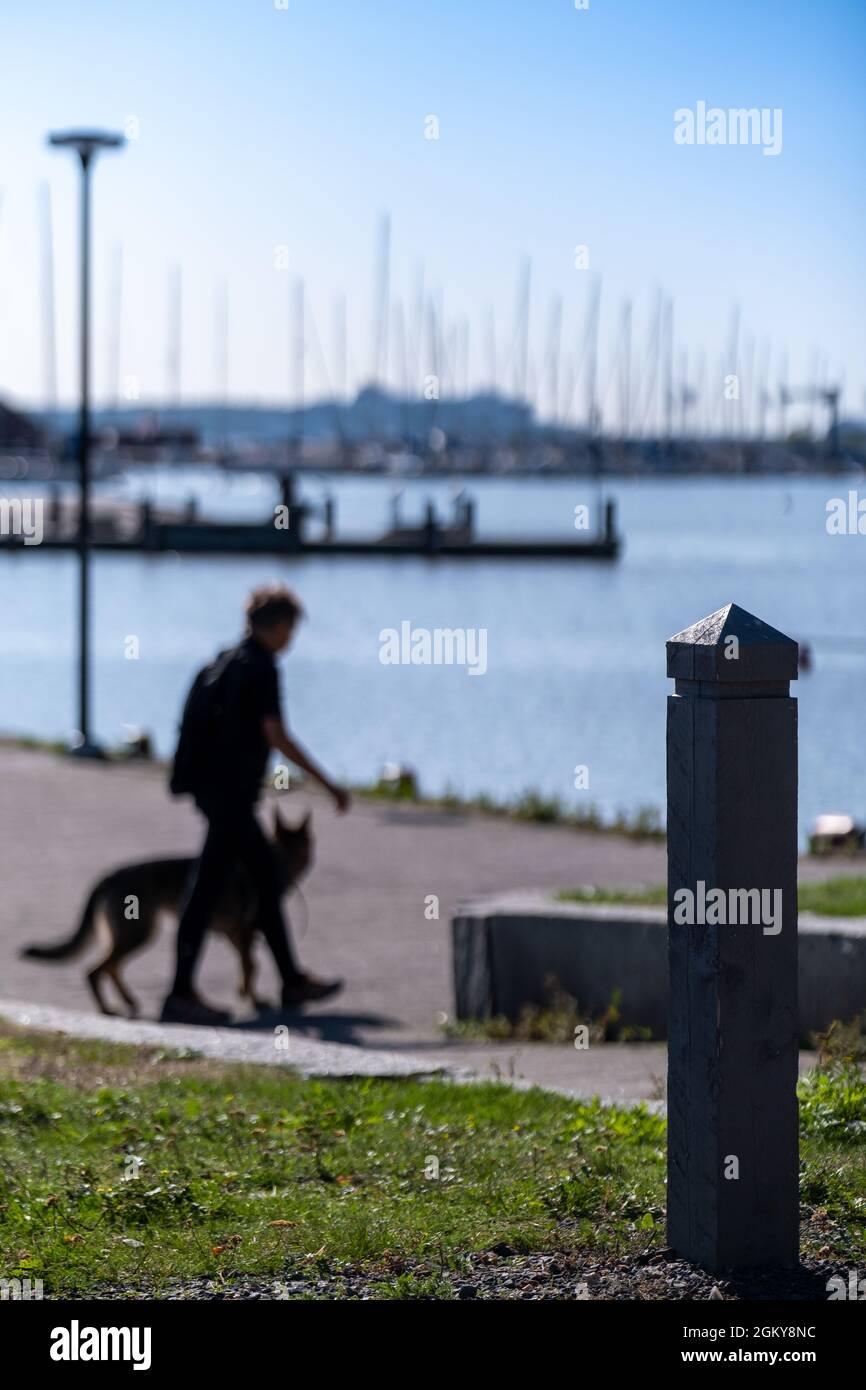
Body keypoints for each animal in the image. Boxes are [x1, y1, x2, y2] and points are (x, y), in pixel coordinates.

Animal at [20, 806, 312, 1023]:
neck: (278, 861)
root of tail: (111, 875)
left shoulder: (236, 935)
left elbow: (250, 966)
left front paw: (246, 993)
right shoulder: (243, 932)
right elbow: (251, 966)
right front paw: (255, 999)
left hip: (135, 936)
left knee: (110, 968)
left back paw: (128, 1001)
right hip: (140, 935)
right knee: (95, 971)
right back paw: (109, 1009)